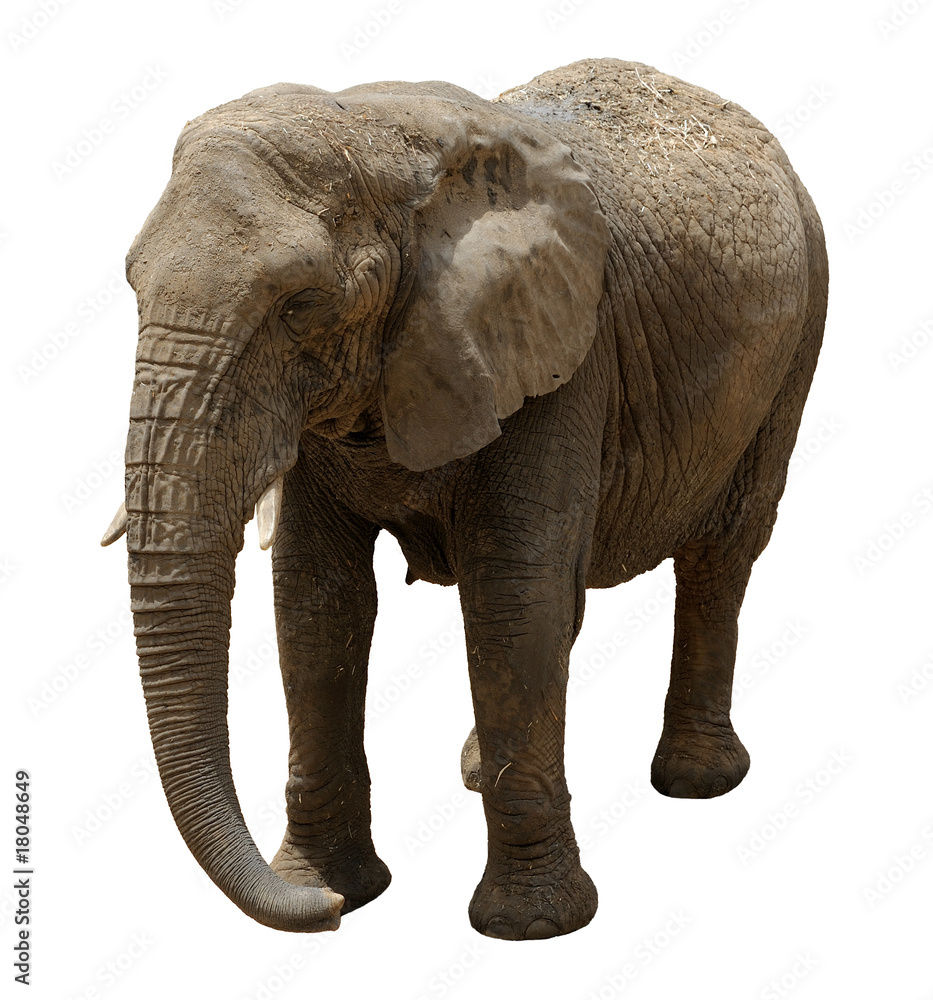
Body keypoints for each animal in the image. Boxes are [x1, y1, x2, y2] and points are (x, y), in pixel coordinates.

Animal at [101, 58, 827, 940]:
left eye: (300, 305)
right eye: (131, 284)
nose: (324, 917)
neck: (378, 137)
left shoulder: (561, 352)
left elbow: (511, 593)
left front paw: (530, 926)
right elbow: (317, 603)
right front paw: (334, 884)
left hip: (800, 329)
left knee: (724, 549)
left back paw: (696, 782)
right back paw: (478, 766)